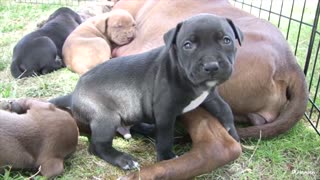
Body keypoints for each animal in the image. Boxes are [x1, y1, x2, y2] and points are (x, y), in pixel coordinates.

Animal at [50, 13, 242, 170]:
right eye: (188, 45)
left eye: (226, 40)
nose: (211, 66)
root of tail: (74, 94)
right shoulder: (165, 111)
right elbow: (165, 136)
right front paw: (166, 158)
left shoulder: (210, 95)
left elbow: (225, 108)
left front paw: (232, 131)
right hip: (105, 117)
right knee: (98, 145)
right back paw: (124, 160)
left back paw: (148, 129)